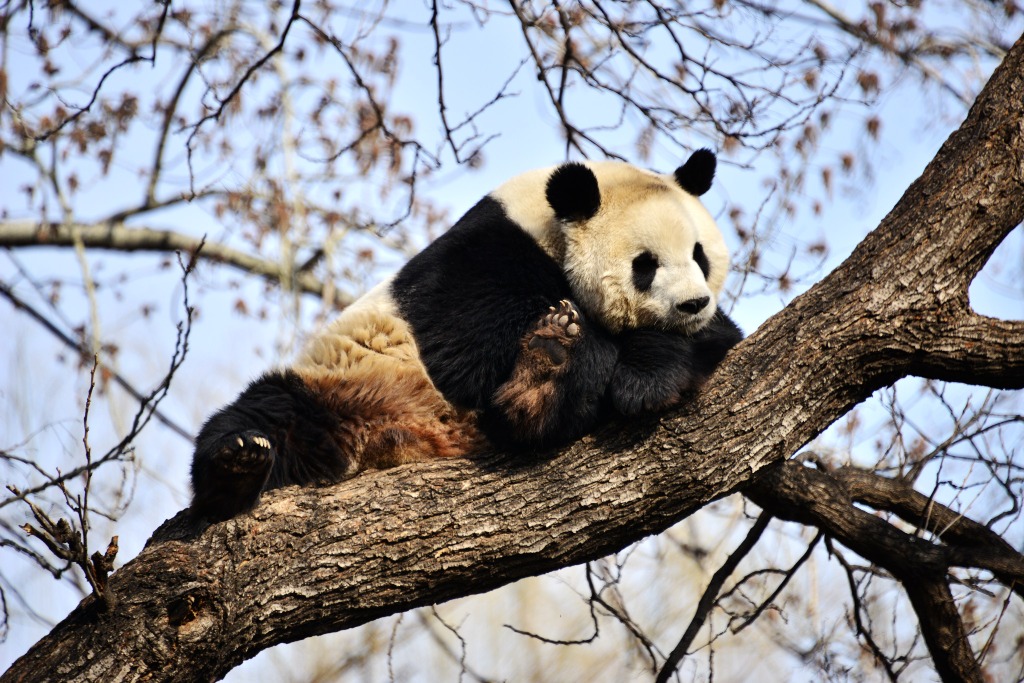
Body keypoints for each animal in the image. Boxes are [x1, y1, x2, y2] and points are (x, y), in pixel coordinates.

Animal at [188, 149, 741, 520]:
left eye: (699, 255)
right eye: (645, 264)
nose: (693, 303)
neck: (549, 228)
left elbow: (715, 341)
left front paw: (644, 379)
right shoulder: (474, 262)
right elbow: (462, 354)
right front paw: (582, 352)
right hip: (340, 381)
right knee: (268, 413)